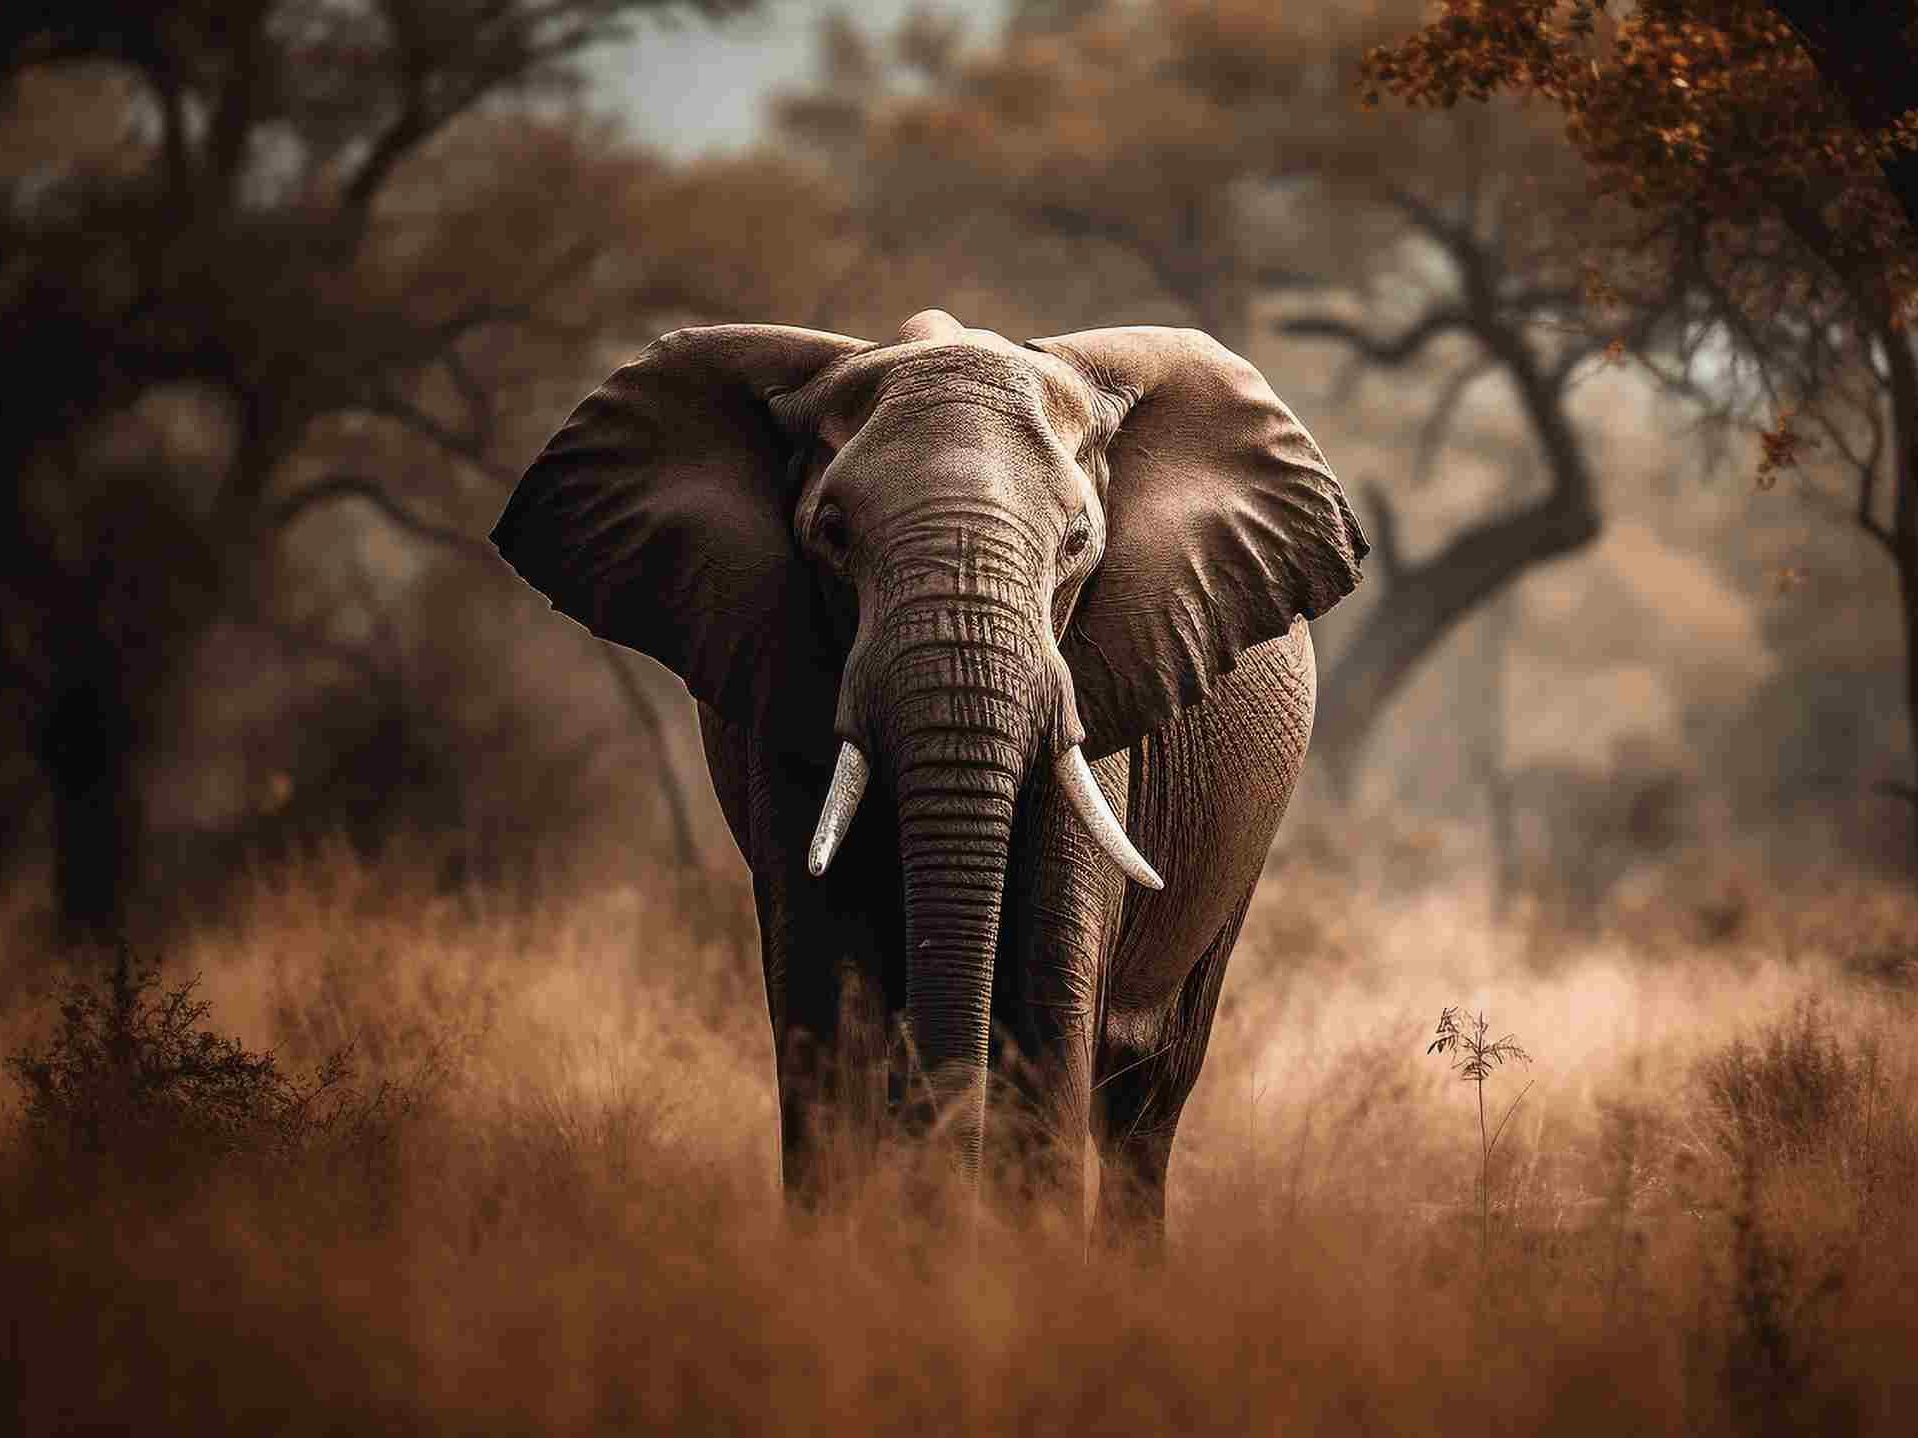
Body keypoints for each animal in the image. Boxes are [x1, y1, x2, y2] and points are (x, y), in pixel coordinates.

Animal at [490, 309, 1367, 1237]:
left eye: (1079, 541)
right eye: (832, 533)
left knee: (1146, 1099)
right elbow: (823, 992)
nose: (950, 1174)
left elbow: (1050, 996)